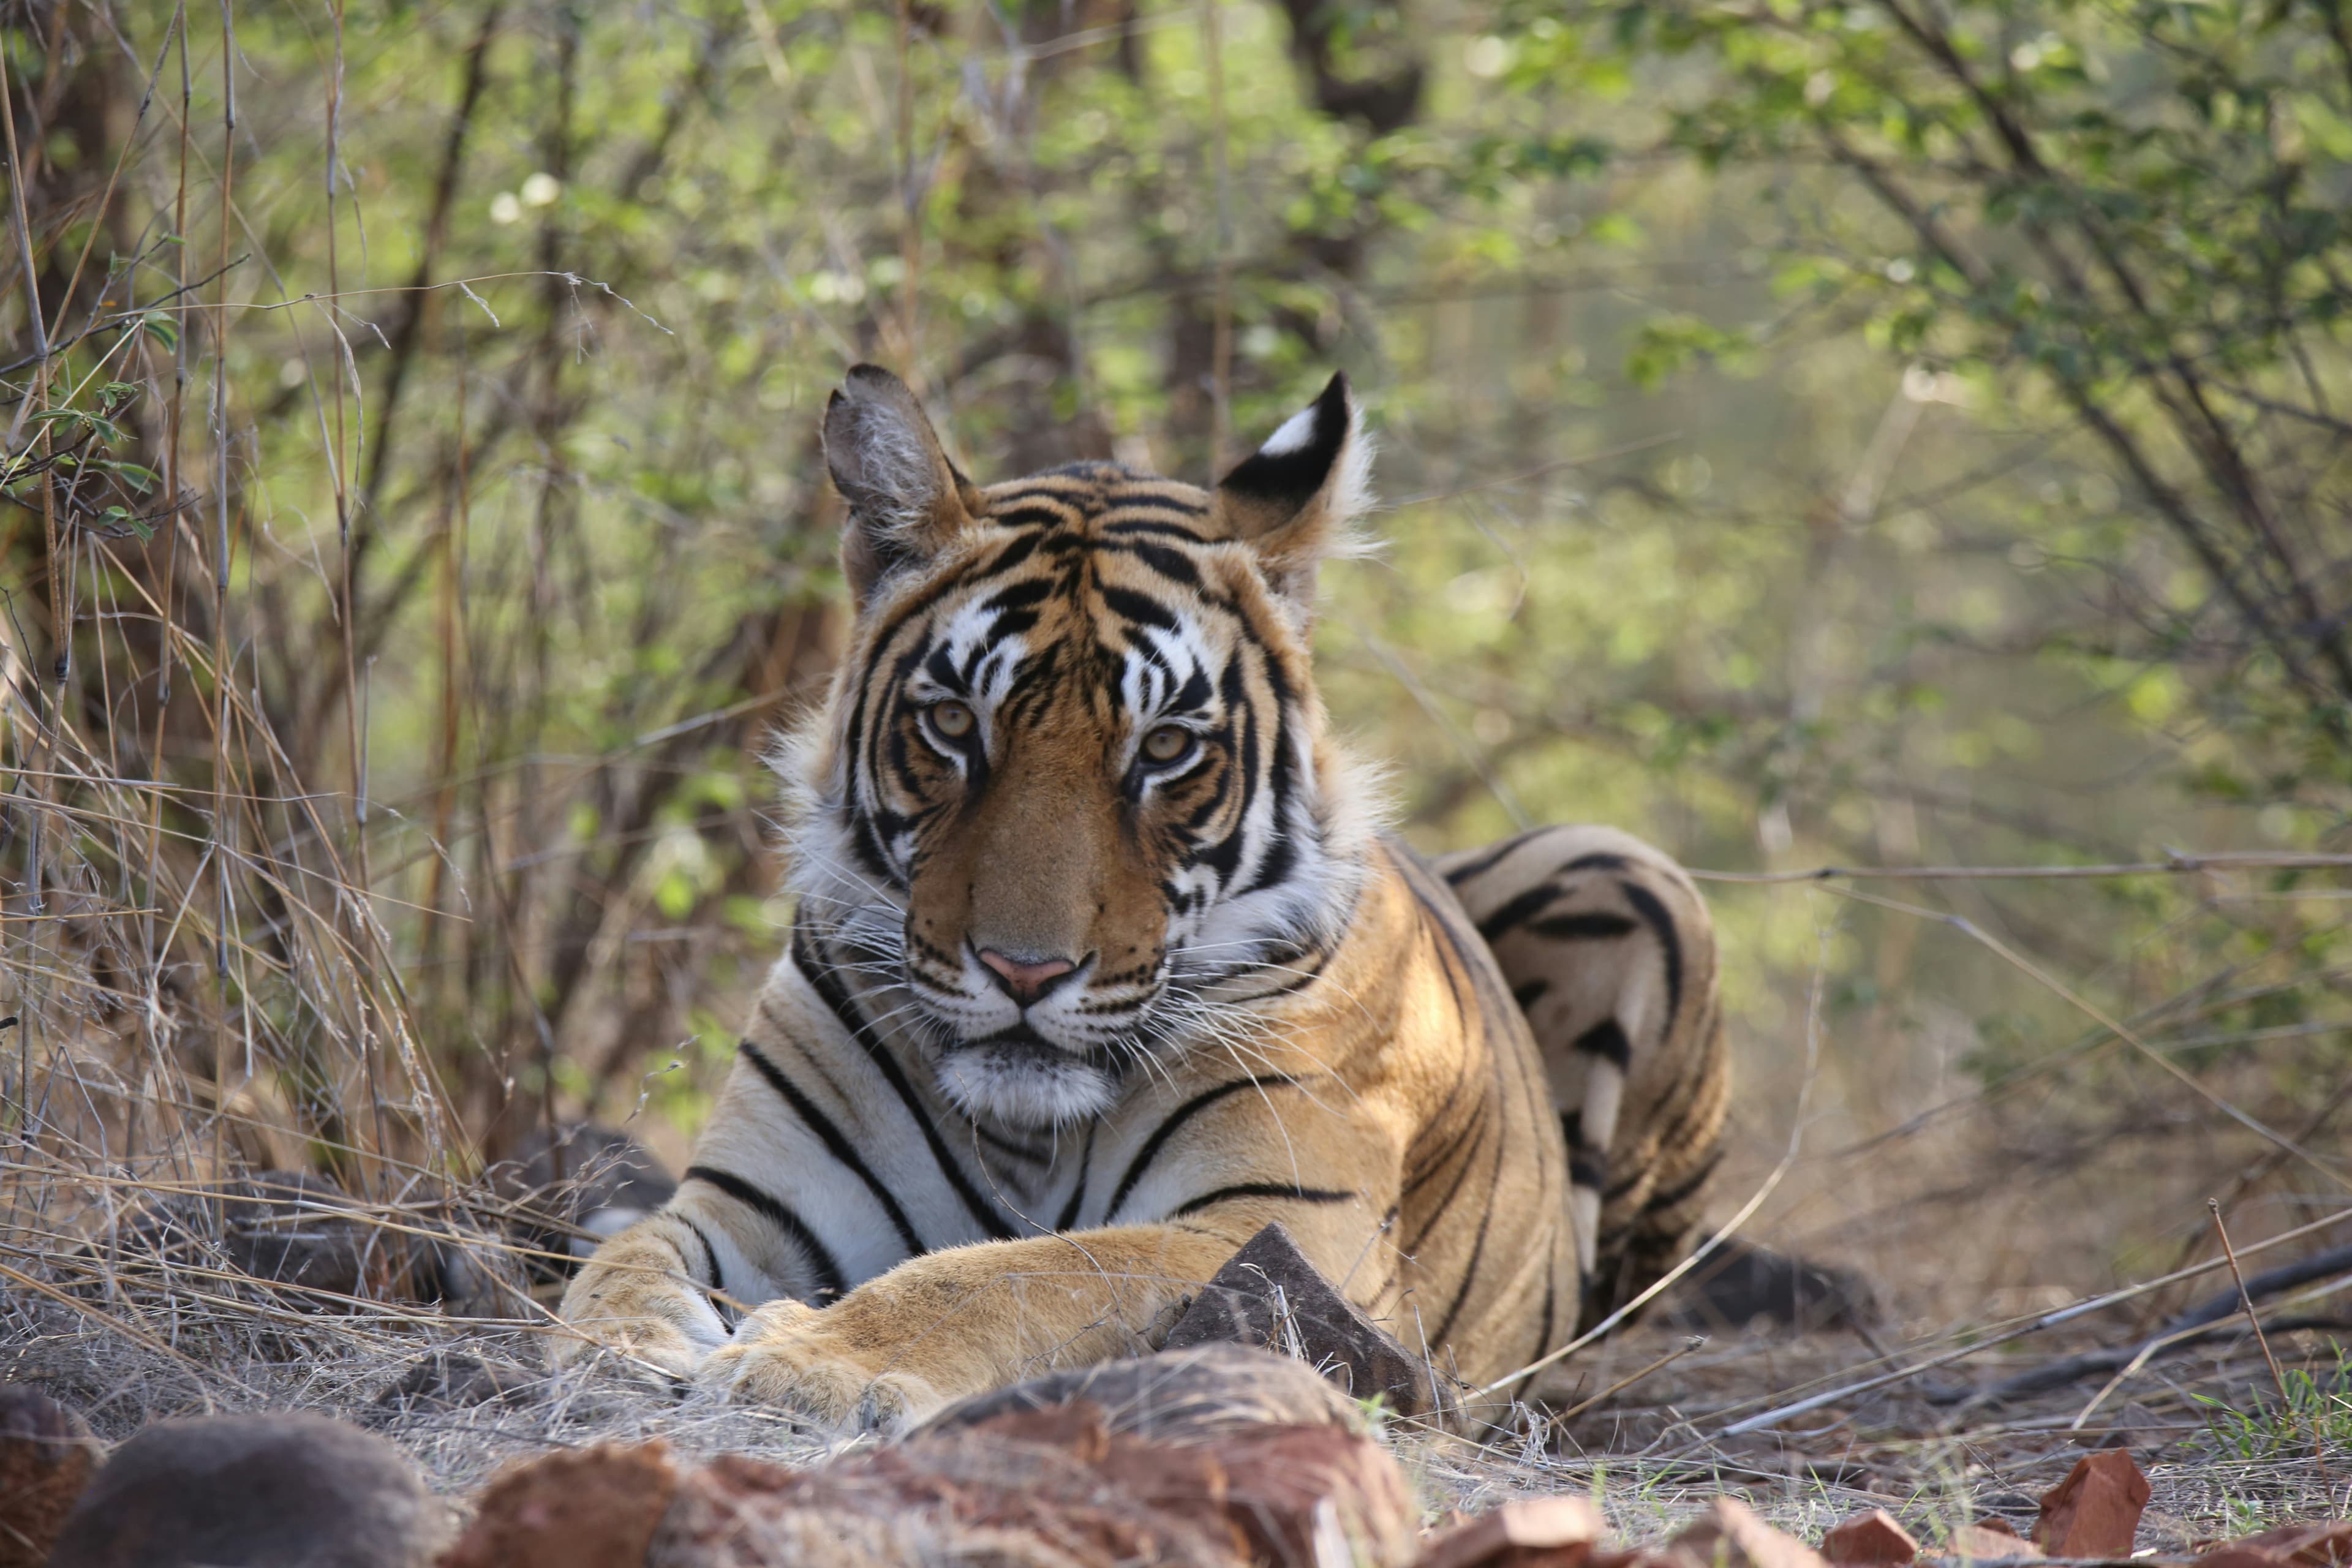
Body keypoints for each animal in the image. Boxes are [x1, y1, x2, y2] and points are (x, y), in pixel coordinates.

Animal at [550, 364, 1729, 1431]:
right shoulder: (748, 1199)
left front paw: (805, 1362)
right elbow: (628, 1253)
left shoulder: (1267, 1226)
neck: (1025, 1131)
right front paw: (624, 1343)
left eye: (1165, 748)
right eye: (953, 724)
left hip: (1627, 868)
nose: (1024, 972)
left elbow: (1014, 1273)